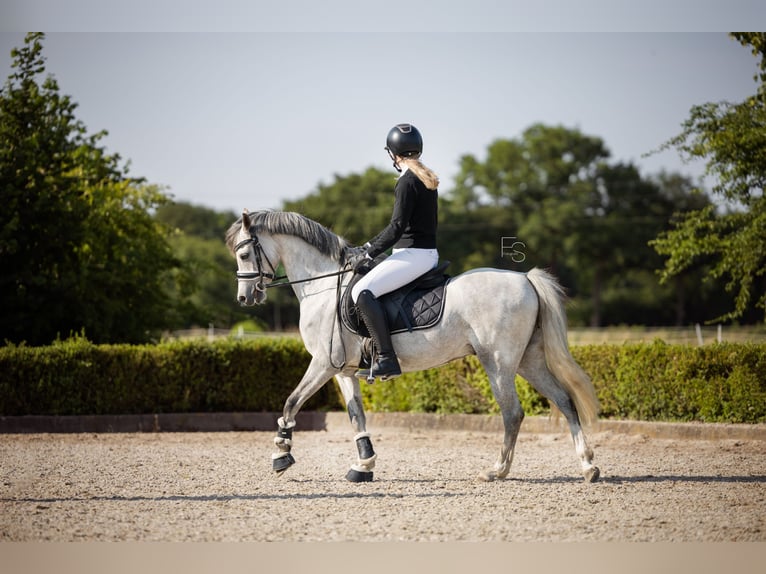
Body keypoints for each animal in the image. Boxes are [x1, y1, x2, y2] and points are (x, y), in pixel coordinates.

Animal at [225, 209, 601, 483]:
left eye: (244, 253)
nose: (244, 298)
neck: (323, 287)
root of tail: (524, 279)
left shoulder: (322, 364)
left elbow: (291, 402)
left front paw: (281, 453)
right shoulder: (342, 370)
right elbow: (356, 415)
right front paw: (364, 466)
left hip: (498, 362)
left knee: (512, 413)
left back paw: (497, 471)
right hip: (528, 360)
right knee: (564, 400)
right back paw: (587, 466)